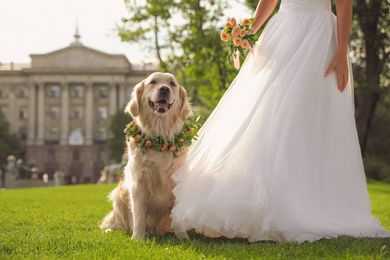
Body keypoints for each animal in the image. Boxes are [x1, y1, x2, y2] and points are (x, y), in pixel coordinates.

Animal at [100, 72, 192, 241]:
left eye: (172, 84)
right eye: (153, 82)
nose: (164, 89)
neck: (159, 139)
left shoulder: (178, 182)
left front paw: (183, 236)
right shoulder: (138, 184)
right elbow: (138, 215)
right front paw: (138, 238)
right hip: (118, 195)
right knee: (115, 222)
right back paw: (112, 230)